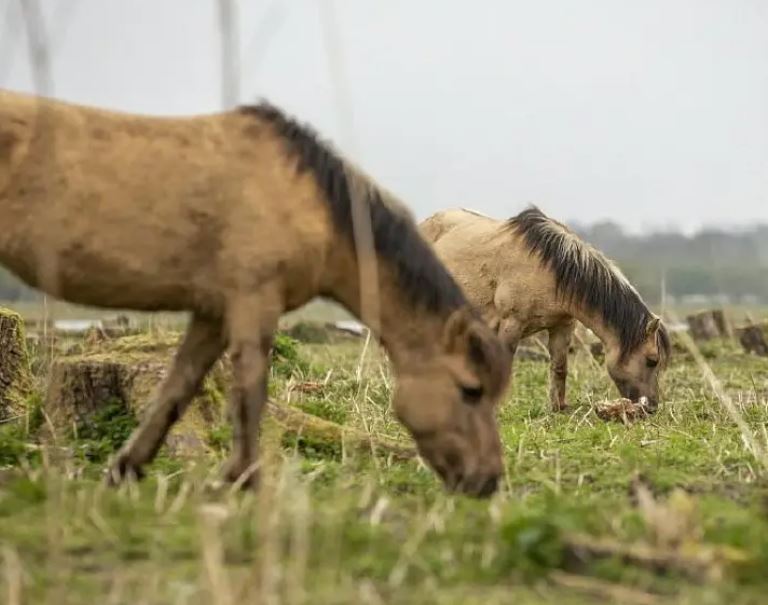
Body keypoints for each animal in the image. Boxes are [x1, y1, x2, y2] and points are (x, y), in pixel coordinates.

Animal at [0, 89, 511, 497]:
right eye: (470, 390)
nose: (486, 481)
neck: (307, 198)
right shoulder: (253, 301)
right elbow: (250, 395)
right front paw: (245, 484)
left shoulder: (212, 312)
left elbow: (176, 391)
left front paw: (124, 472)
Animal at [420, 207, 670, 413]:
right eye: (652, 360)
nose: (652, 407)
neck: (551, 270)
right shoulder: (512, 324)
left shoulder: (562, 327)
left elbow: (559, 368)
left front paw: (558, 408)